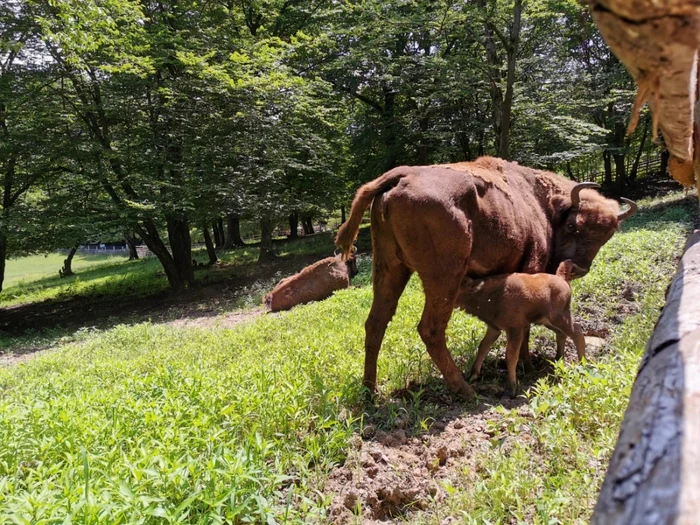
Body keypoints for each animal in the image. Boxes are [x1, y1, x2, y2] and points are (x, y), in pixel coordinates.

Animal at [456, 260, 588, 396]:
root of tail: (561, 278)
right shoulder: (494, 328)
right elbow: (483, 347)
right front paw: (472, 376)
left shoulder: (515, 328)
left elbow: (511, 355)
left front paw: (511, 389)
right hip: (547, 321)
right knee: (562, 334)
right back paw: (558, 359)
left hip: (559, 317)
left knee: (577, 332)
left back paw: (582, 365)